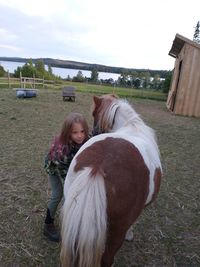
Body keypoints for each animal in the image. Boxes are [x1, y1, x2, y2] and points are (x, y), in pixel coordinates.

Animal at [60, 94, 162, 267]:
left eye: (94, 114)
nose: (93, 132)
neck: (132, 126)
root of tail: (98, 166)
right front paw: (130, 234)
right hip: (116, 230)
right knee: (107, 258)